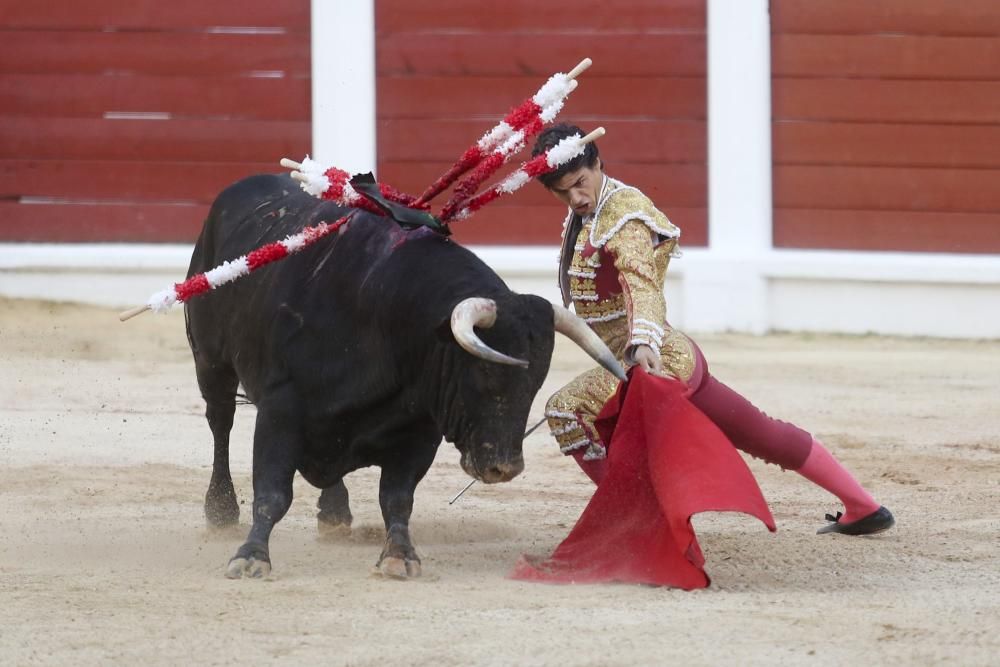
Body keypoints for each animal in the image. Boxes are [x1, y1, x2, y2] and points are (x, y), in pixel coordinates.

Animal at [183, 174, 620, 580]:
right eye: (484, 373)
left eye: (534, 385)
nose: (504, 468)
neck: (382, 320)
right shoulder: (280, 411)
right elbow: (272, 492)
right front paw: (251, 557)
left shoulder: (419, 430)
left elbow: (397, 498)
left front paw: (399, 556)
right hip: (210, 363)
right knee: (220, 423)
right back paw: (221, 509)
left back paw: (335, 512)